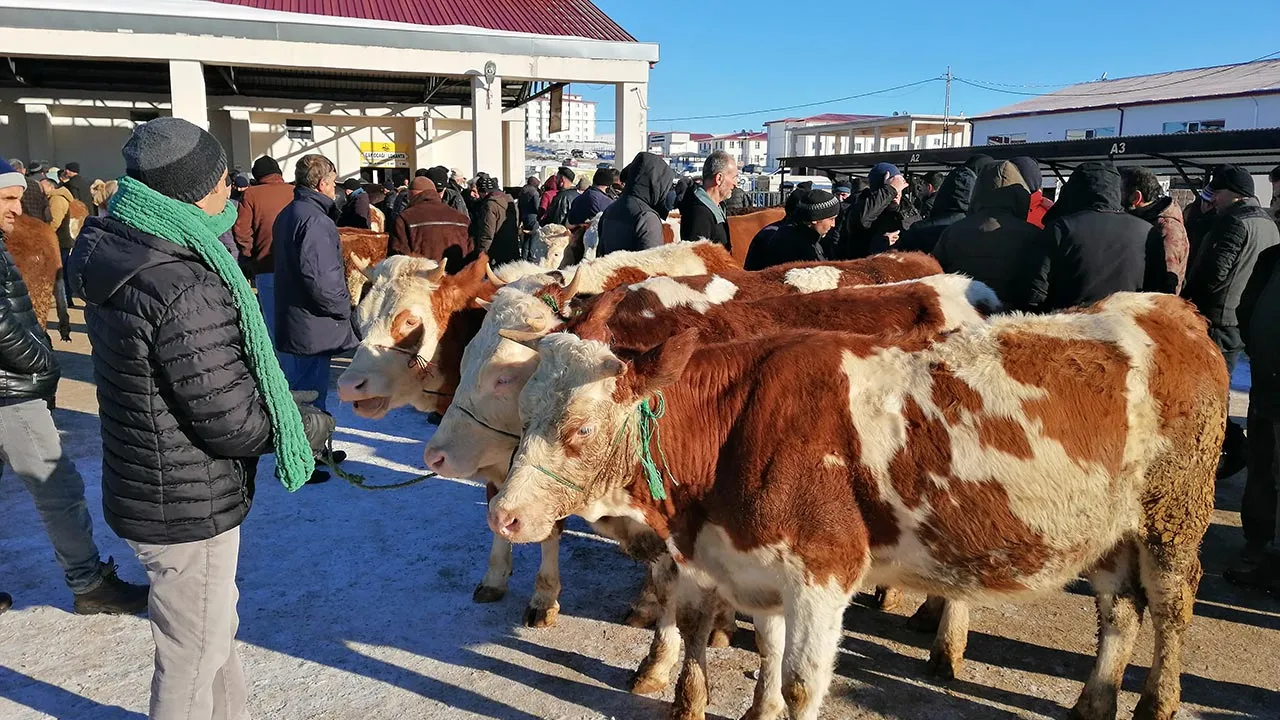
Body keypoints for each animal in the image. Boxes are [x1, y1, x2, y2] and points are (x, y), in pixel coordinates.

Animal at [491, 292, 1228, 717]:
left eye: (580, 430)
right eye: (524, 411)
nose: (504, 514)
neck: (736, 426)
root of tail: (1169, 309)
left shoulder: (823, 569)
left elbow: (799, 683)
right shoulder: (758, 566)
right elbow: (767, 652)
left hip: (1173, 515)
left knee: (1171, 604)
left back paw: (1157, 704)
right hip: (1107, 529)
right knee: (1120, 610)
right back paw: (1092, 703)